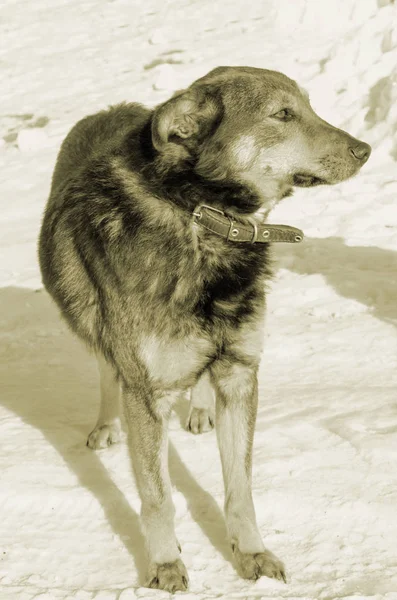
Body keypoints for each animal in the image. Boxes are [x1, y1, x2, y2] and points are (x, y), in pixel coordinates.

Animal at [38, 65, 370, 592]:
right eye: (282, 114)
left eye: (309, 106)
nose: (366, 150)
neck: (204, 219)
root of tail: (112, 108)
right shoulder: (146, 394)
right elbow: (158, 496)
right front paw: (163, 565)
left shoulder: (240, 374)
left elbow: (240, 486)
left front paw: (252, 554)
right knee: (107, 371)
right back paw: (107, 424)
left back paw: (197, 409)